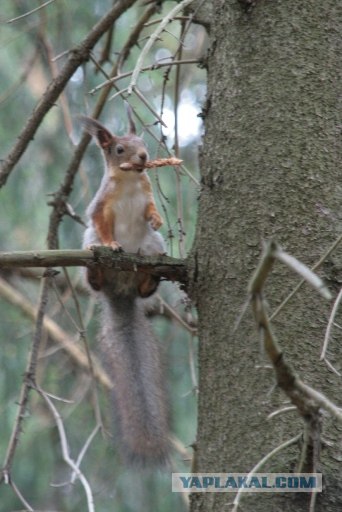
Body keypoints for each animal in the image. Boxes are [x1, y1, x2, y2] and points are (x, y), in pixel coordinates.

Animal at [80, 108, 171, 468]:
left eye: (142, 141)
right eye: (119, 149)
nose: (144, 157)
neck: (131, 181)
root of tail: (120, 293)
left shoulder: (146, 193)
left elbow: (149, 210)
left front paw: (157, 217)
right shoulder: (100, 207)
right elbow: (102, 224)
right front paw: (113, 243)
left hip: (151, 245)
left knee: (148, 277)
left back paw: (150, 276)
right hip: (88, 247)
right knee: (94, 270)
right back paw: (96, 272)